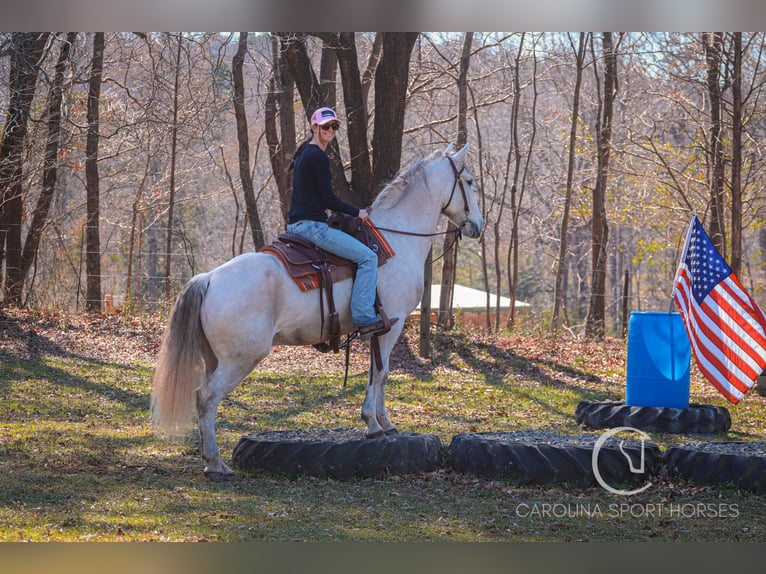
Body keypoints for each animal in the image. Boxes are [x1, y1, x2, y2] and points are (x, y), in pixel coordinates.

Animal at [152, 145, 484, 482]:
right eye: (469, 181)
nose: (478, 226)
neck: (397, 238)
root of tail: (208, 279)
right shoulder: (393, 324)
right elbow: (382, 372)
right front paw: (375, 424)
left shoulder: (378, 329)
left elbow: (377, 373)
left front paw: (383, 423)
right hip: (240, 359)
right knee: (206, 398)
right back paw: (216, 463)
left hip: (214, 359)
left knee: (206, 400)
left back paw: (211, 461)